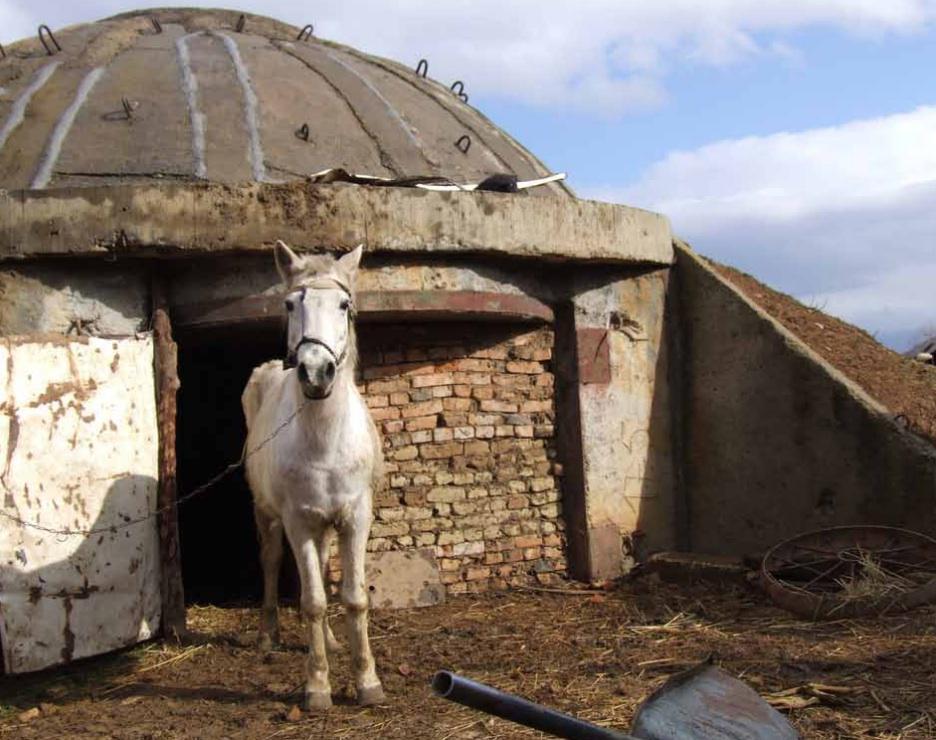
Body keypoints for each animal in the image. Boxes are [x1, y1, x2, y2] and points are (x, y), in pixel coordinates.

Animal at [245, 240, 388, 708]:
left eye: (344, 305)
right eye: (291, 304)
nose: (314, 372)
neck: (326, 440)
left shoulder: (355, 518)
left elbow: (353, 598)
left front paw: (367, 681)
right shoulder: (297, 521)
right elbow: (311, 601)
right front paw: (318, 686)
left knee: (323, 569)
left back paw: (330, 640)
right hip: (267, 513)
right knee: (271, 561)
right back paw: (268, 636)